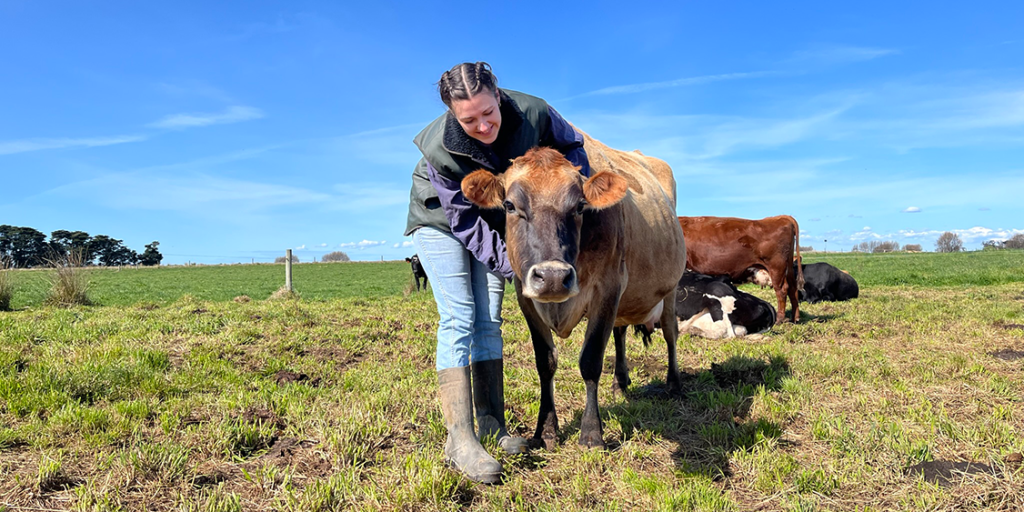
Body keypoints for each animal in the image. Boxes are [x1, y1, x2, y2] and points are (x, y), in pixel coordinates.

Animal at [460, 134, 684, 450]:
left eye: (580, 206)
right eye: (509, 205)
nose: (553, 277)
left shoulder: (608, 287)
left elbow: (590, 360)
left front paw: (591, 433)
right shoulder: (526, 296)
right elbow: (545, 362)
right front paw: (546, 429)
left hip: (671, 287)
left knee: (670, 333)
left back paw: (673, 384)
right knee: (620, 333)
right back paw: (620, 382)